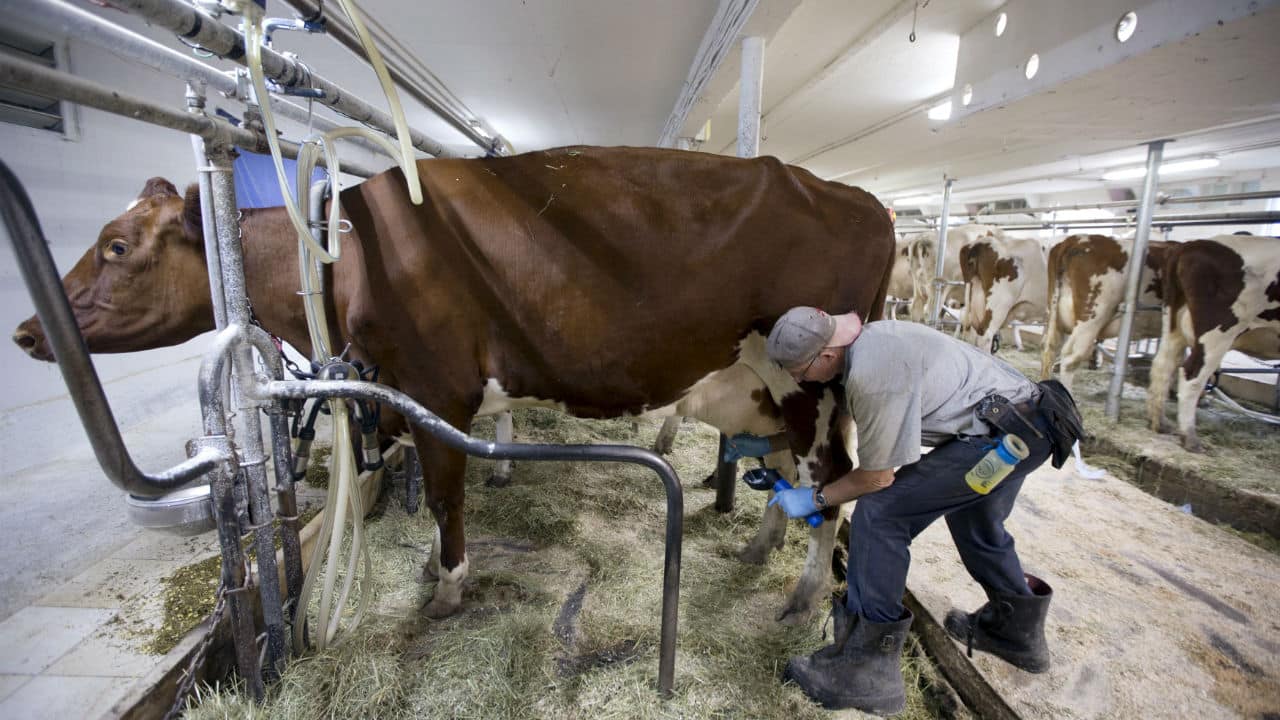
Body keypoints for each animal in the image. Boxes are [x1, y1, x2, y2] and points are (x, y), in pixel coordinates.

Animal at [12, 144, 901, 617]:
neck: (345, 254)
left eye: (117, 246)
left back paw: (802, 596)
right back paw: (759, 547)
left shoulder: (433, 391)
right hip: (769, 391)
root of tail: (861, 196)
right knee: (794, 477)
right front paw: (436, 576)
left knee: (832, 480)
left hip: (811, 385)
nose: (24, 330)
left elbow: (446, 497)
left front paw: (446, 585)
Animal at [1152, 234, 1280, 448]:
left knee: (1163, 364)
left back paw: (1160, 423)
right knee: (1192, 374)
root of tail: (1189, 245)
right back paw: (1190, 437)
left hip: (1173, 318)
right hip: (1219, 327)